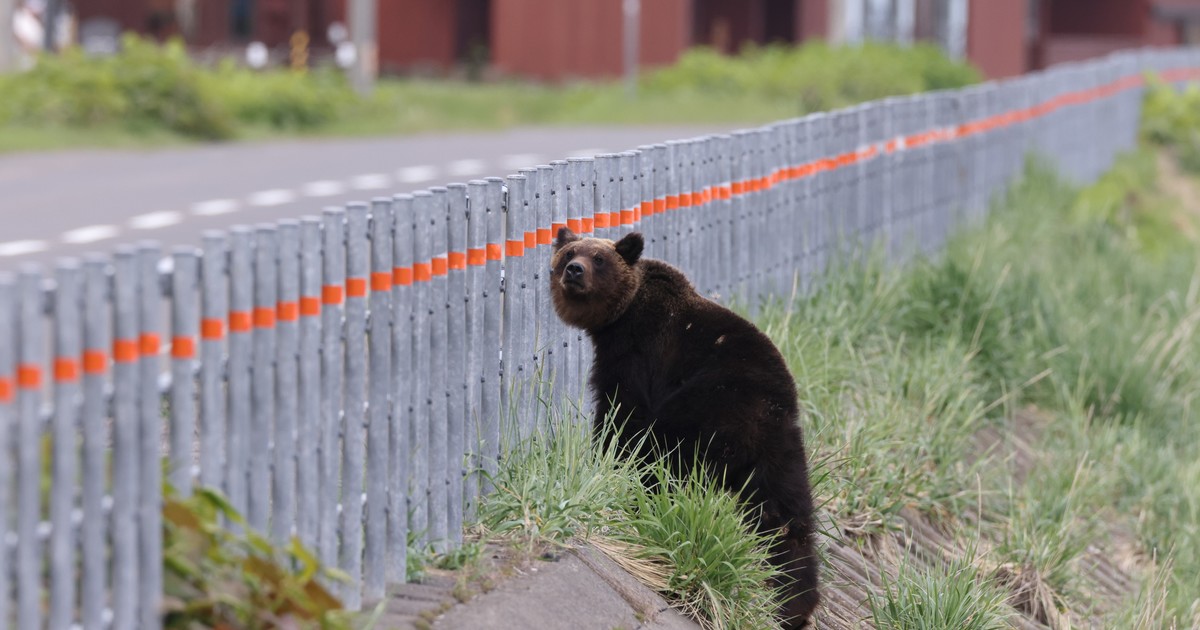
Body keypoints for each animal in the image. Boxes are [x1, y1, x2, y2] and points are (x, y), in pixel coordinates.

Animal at [549, 227, 820, 629]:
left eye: (598, 258)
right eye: (569, 252)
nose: (574, 271)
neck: (618, 317)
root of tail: (764, 419)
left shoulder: (638, 353)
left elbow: (621, 414)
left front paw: (603, 459)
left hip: (705, 412)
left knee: (664, 461)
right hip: (783, 454)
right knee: (788, 521)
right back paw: (792, 605)